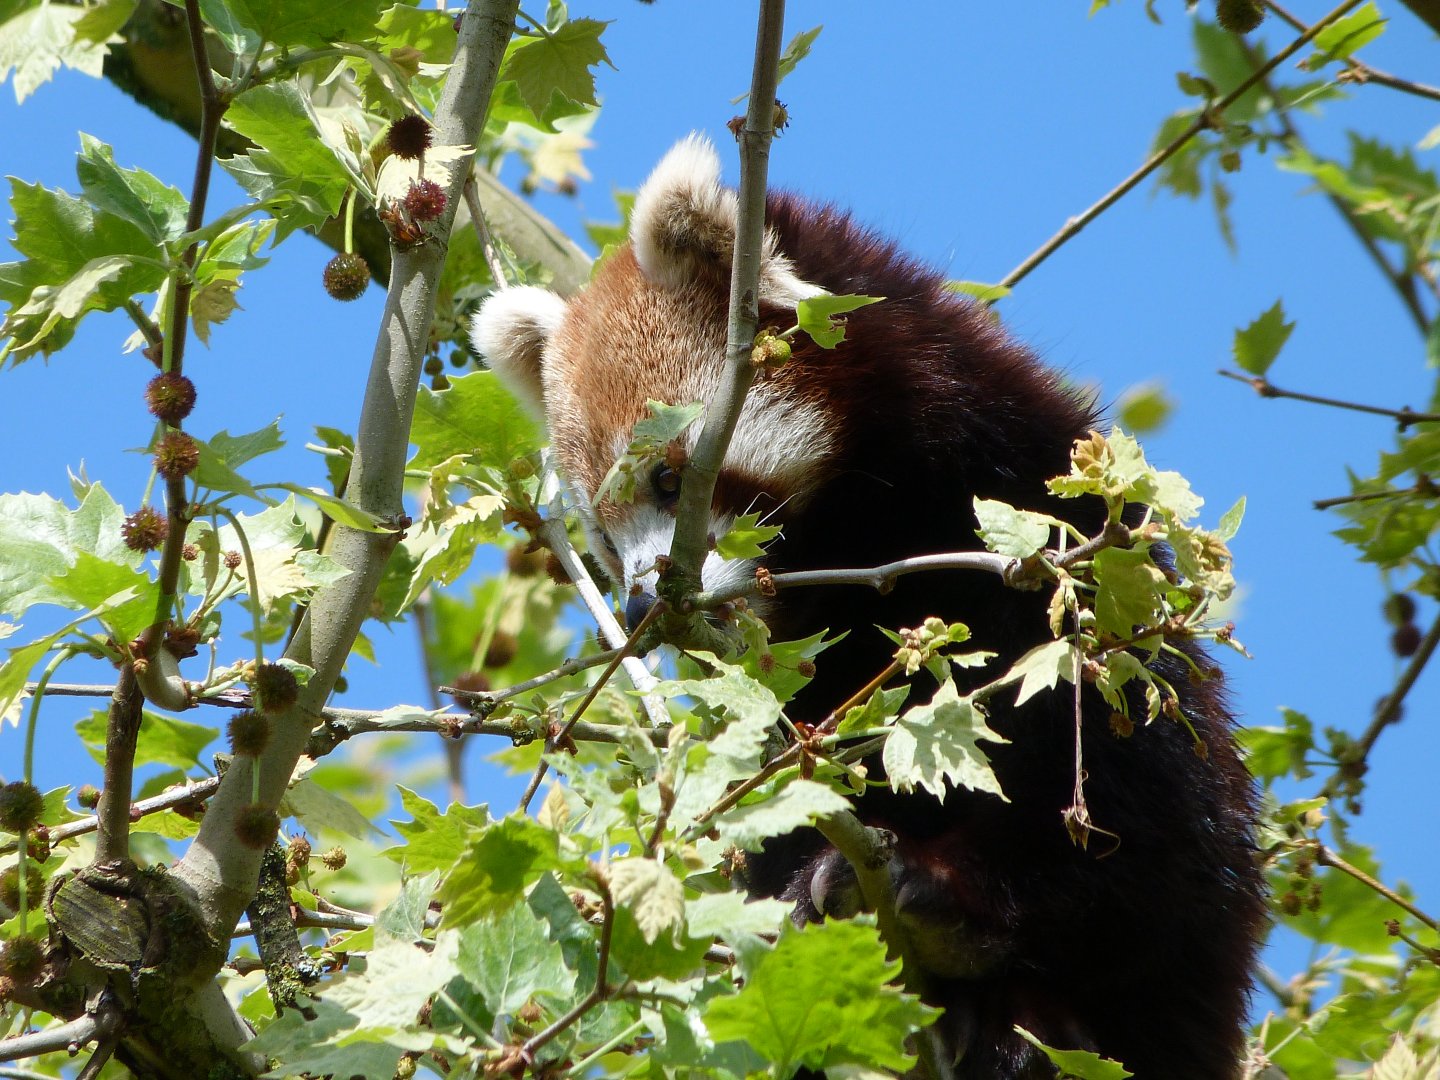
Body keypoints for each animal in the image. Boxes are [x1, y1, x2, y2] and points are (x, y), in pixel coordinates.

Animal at [470, 135, 1266, 1079]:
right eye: (598, 529)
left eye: (668, 478)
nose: (637, 605)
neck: (849, 544)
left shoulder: (1039, 513)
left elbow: (1103, 750)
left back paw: (971, 930)